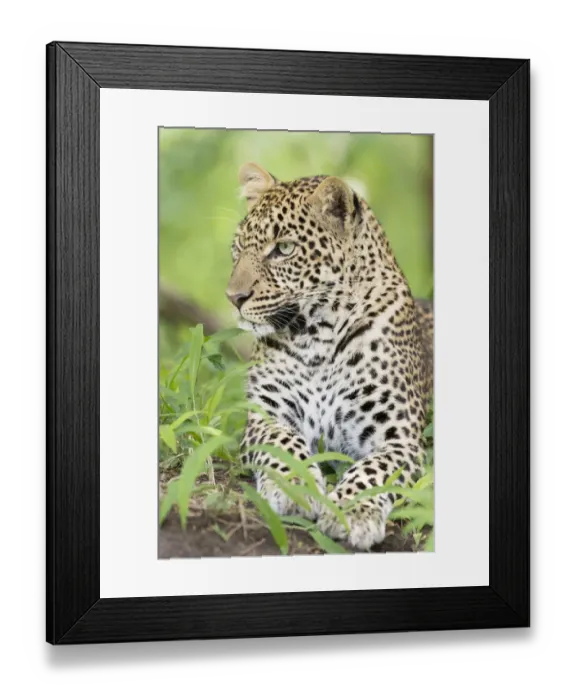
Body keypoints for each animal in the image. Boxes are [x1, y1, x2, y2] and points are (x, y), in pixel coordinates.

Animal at [226, 162, 433, 551]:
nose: (234, 297)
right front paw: (295, 486)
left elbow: (373, 471)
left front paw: (353, 510)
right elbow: (284, 445)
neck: (317, 336)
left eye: (284, 249)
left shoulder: (399, 438)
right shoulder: (266, 415)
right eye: (239, 248)